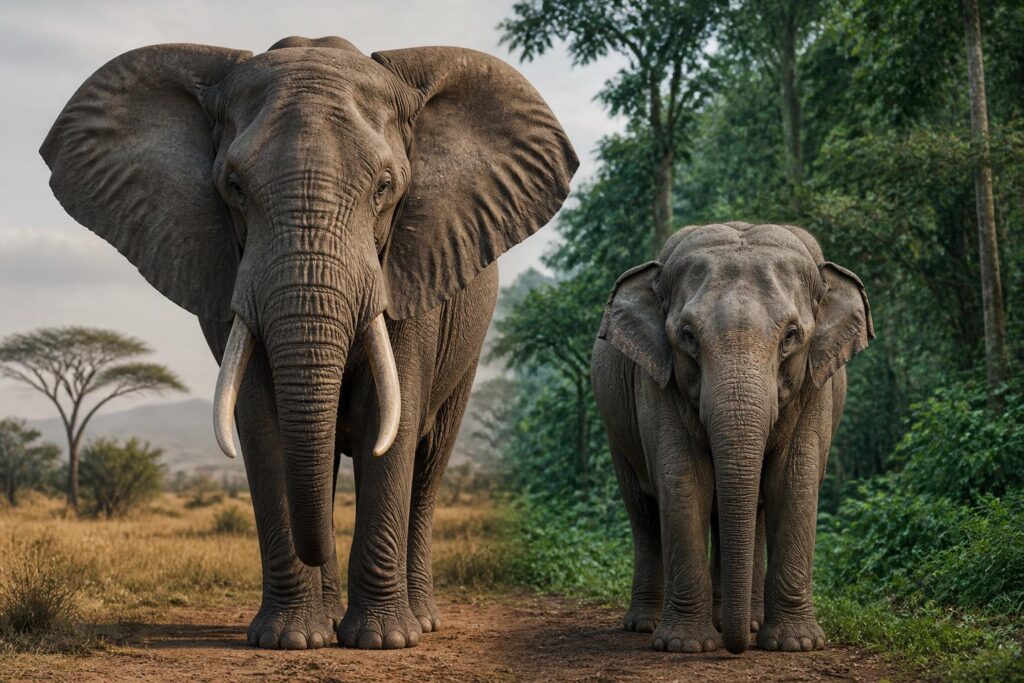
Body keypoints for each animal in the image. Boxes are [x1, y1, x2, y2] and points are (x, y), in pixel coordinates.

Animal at [41, 36, 577, 650]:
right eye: (234, 188)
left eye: (386, 188)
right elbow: (261, 421)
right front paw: (291, 639)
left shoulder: (411, 268)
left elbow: (390, 422)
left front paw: (381, 642)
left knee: (428, 461)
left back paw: (420, 621)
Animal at [591, 222, 872, 655]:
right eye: (687, 335)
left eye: (791, 335)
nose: (735, 649)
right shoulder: (657, 381)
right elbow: (685, 480)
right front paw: (685, 645)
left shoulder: (815, 383)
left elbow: (791, 481)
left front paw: (797, 644)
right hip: (616, 428)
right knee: (643, 511)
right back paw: (647, 625)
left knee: (750, 509)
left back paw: (745, 622)